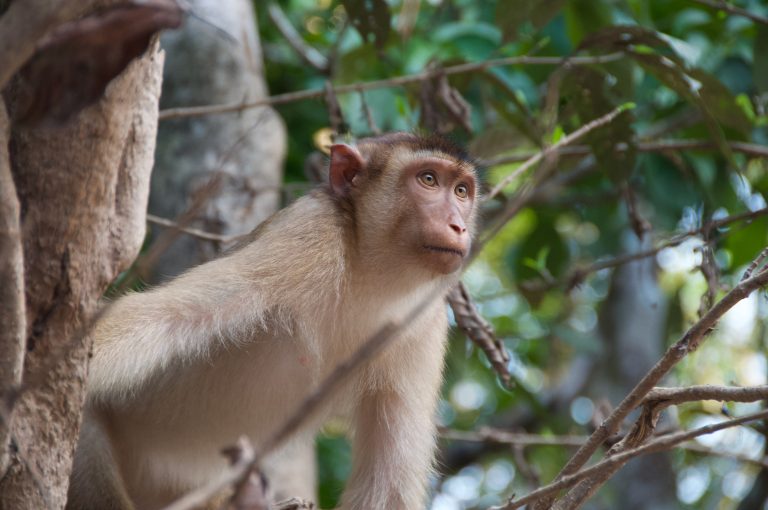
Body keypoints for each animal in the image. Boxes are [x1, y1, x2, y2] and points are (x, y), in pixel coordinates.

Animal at [67, 132, 474, 510]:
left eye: (462, 191)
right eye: (428, 179)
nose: (459, 226)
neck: (371, 273)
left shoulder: (426, 319)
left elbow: (388, 488)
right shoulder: (308, 234)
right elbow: (173, 315)